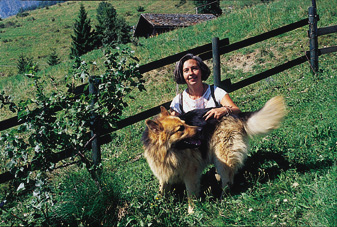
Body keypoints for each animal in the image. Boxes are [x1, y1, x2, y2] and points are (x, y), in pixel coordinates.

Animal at [140, 96, 284, 213]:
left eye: (185, 123)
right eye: (180, 129)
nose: (200, 129)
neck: (169, 153)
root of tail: (235, 115)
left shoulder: (190, 175)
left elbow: (191, 195)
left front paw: (192, 212)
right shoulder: (165, 173)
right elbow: (161, 191)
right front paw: (158, 206)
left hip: (222, 158)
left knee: (227, 180)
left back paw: (222, 198)